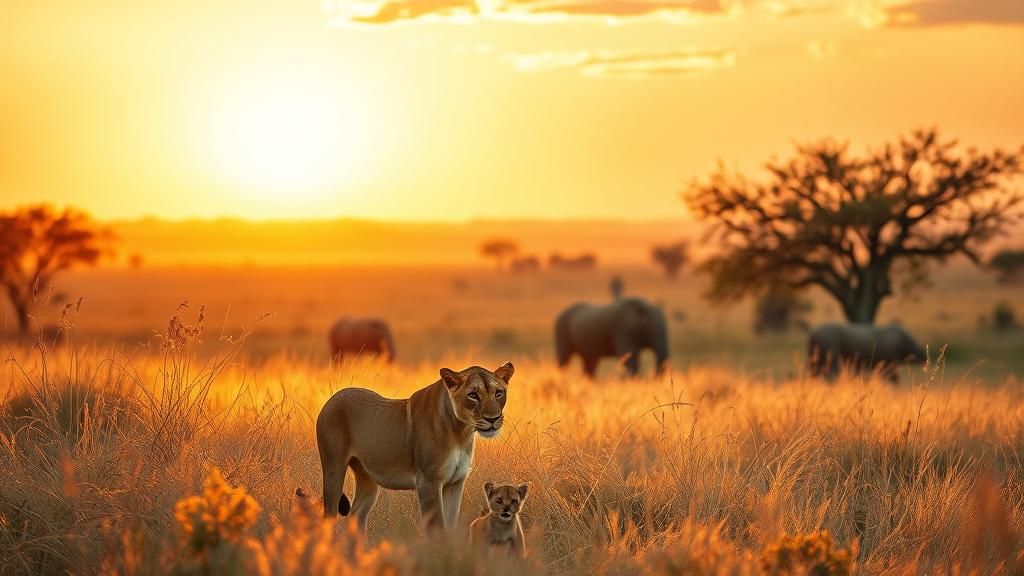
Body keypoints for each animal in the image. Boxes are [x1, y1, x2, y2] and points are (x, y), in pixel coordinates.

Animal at [315, 362, 514, 532]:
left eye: (498, 393)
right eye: (473, 395)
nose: (493, 419)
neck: (461, 432)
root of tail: (332, 398)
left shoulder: (455, 482)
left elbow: (450, 527)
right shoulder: (428, 482)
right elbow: (437, 529)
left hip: (367, 477)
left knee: (356, 515)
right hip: (333, 468)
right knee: (329, 516)